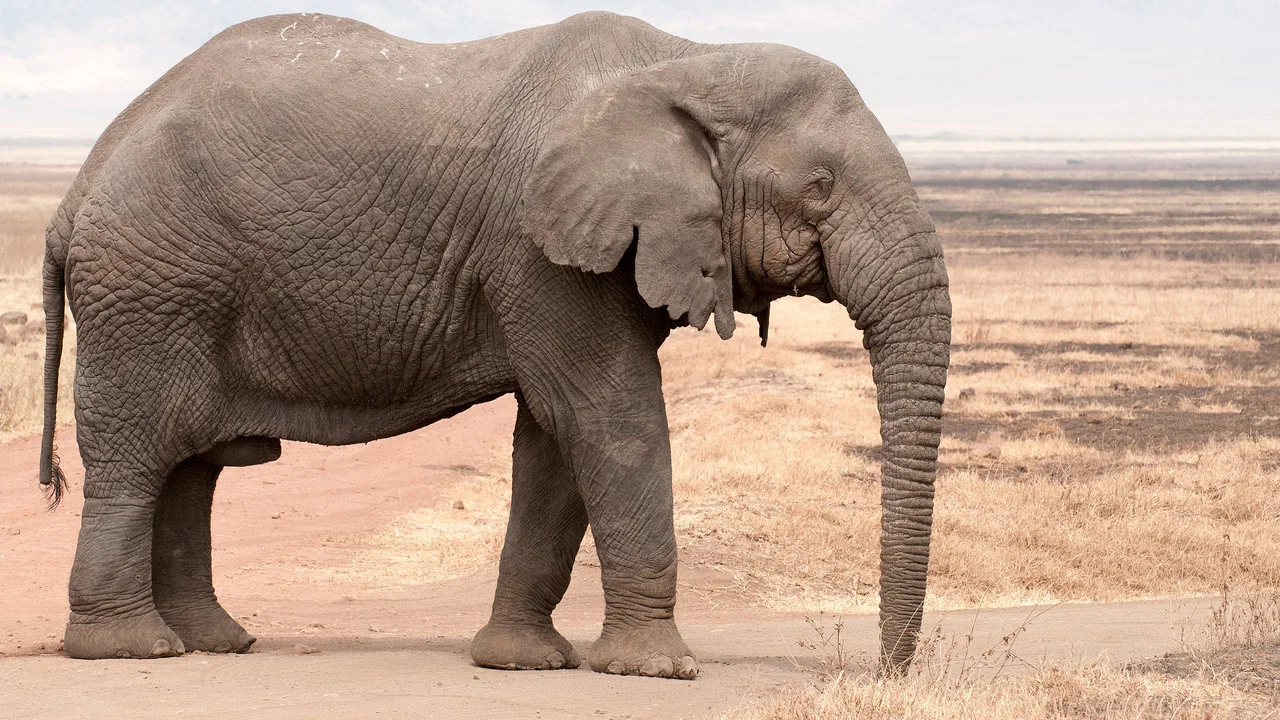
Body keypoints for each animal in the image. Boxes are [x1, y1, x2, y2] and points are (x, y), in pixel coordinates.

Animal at [38, 11, 950, 677]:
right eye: (820, 188)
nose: (882, 673)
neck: (689, 60)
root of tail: (75, 190)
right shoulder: (539, 249)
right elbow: (609, 416)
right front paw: (657, 672)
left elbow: (555, 441)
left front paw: (524, 662)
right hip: (149, 293)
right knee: (138, 457)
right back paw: (130, 650)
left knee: (191, 467)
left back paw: (213, 643)